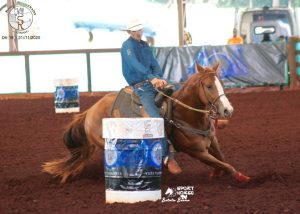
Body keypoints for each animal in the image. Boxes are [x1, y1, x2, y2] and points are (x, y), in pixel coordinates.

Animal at [41, 62, 250, 183]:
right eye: (208, 86)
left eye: (221, 84)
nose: (228, 110)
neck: (187, 115)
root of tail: (89, 112)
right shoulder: (197, 152)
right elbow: (226, 165)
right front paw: (241, 177)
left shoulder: (212, 141)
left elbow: (222, 160)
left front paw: (217, 173)